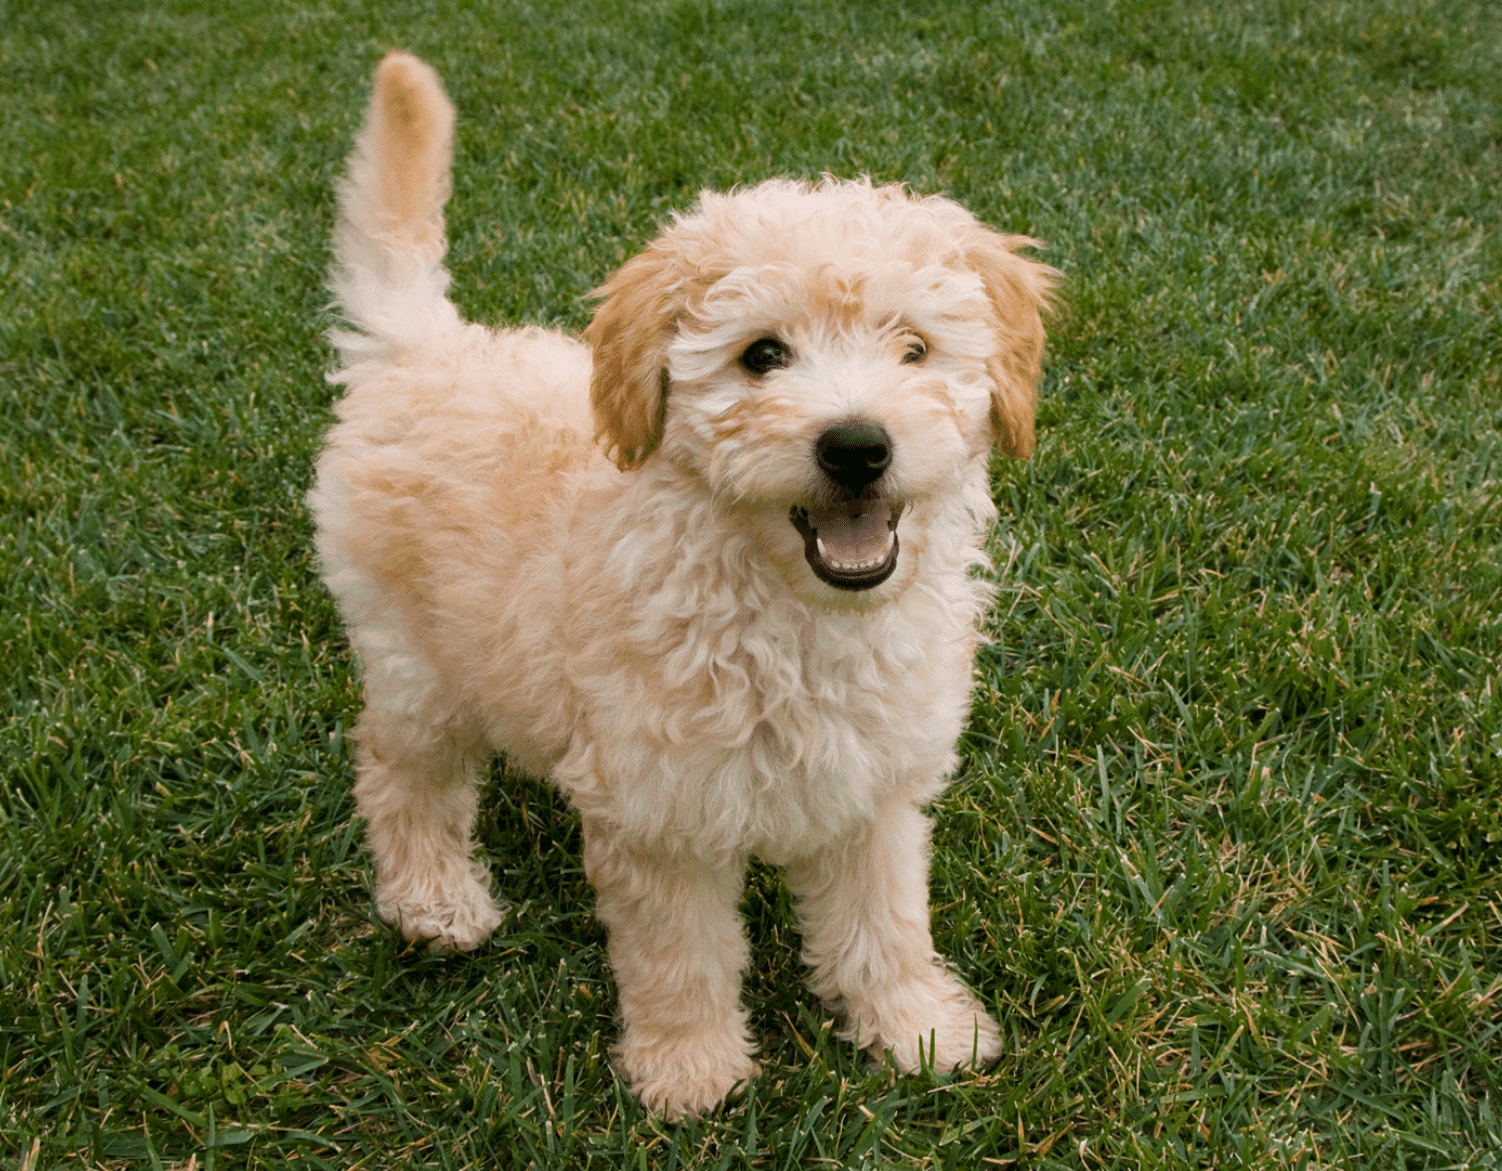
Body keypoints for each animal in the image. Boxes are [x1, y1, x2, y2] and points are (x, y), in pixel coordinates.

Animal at [309, 52, 1051, 1116]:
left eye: (914, 348)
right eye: (762, 355)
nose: (857, 446)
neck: (790, 614)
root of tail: (423, 347)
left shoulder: (872, 789)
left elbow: (886, 923)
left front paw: (918, 1029)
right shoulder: (661, 816)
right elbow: (681, 955)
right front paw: (691, 1069)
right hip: (415, 661)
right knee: (397, 773)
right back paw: (435, 900)